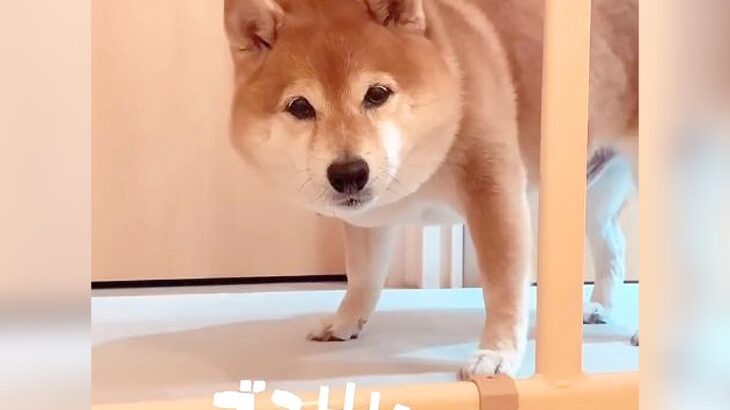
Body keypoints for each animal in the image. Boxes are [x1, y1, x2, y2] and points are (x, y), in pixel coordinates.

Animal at [224, 0, 637, 377]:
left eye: (377, 94)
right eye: (300, 107)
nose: (348, 173)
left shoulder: (494, 192)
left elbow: (503, 285)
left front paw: (497, 353)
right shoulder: (368, 221)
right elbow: (363, 277)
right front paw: (345, 322)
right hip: (593, 191)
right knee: (615, 244)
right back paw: (599, 307)